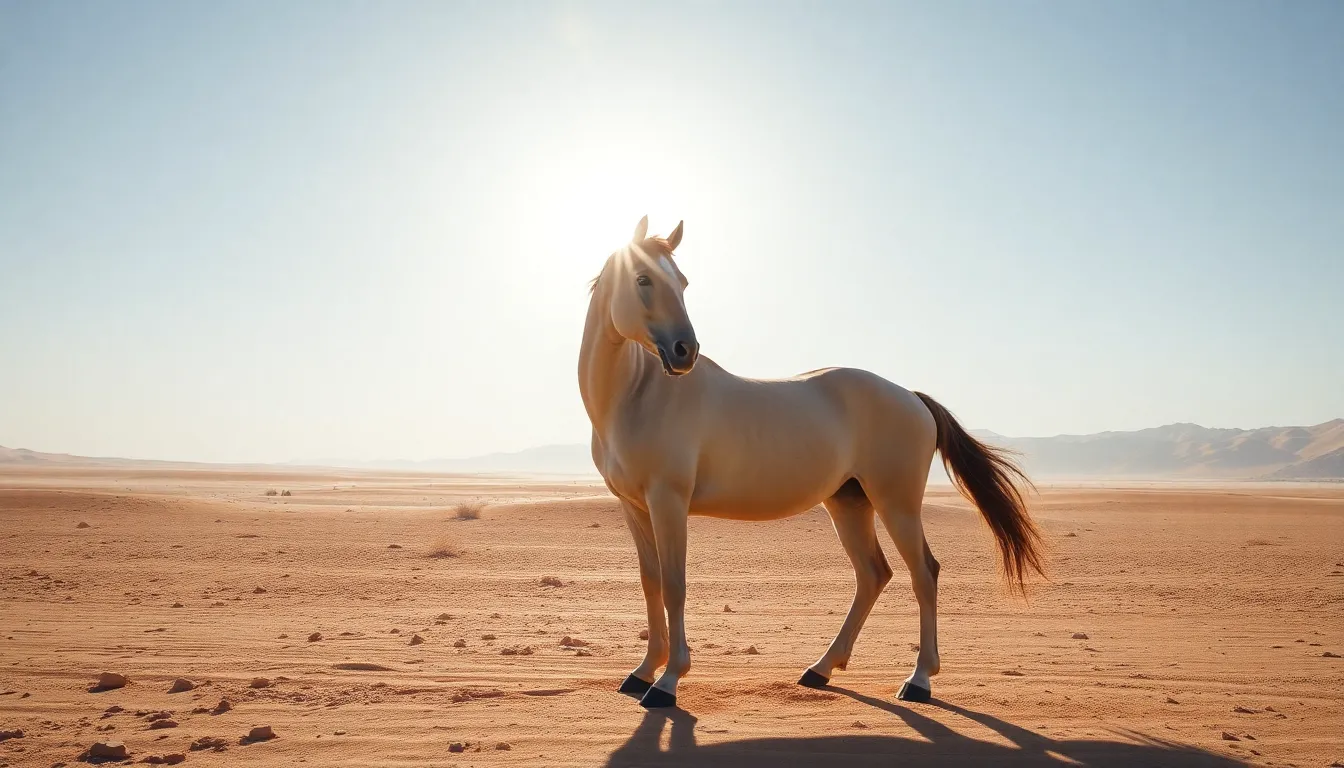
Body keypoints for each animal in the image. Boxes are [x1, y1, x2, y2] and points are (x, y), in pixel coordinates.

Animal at [578, 216, 1044, 709]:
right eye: (643, 279)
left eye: (682, 282)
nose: (685, 351)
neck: (639, 396)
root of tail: (912, 397)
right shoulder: (635, 506)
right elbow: (651, 583)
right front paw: (643, 671)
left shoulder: (668, 502)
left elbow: (674, 585)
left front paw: (667, 682)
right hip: (849, 503)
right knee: (873, 575)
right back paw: (821, 668)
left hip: (896, 505)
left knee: (924, 574)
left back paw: (918, 680)